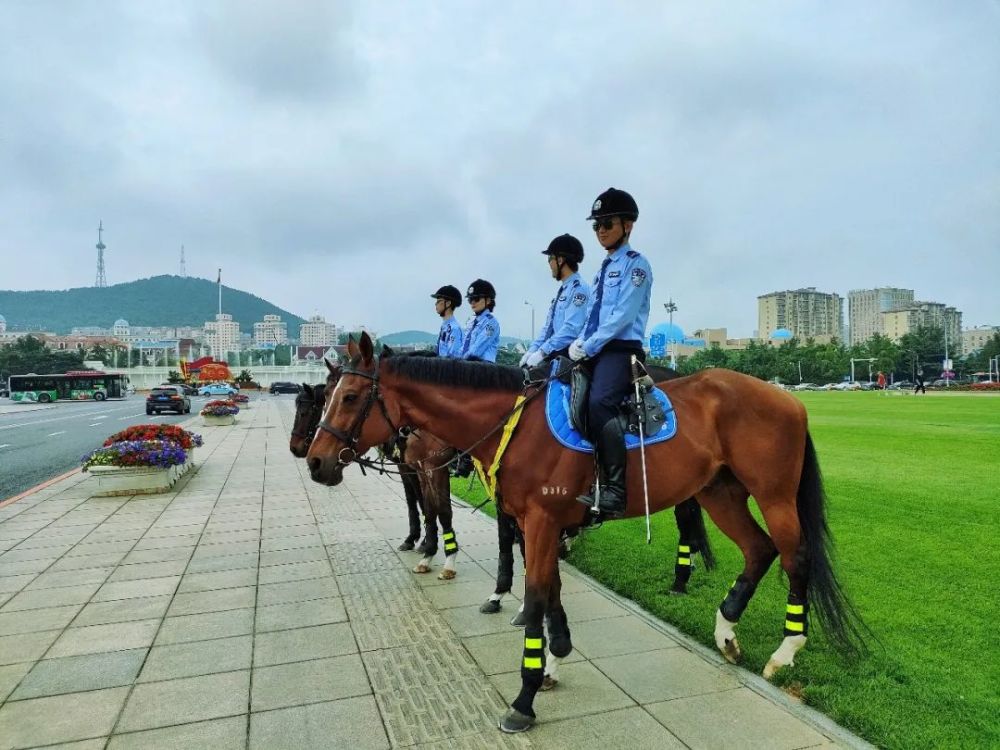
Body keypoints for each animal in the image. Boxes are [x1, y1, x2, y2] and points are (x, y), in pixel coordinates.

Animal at [308, 334, 864, 736]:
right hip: (719, 492)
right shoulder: (539, 522)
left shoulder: (539, 520)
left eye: (351, 396)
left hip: (773, 494)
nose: (314, 462)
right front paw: (556, 655)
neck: (512, 424)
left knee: (795, 557)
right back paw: (726, 629)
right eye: (327, 395)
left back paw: (785, 650)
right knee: (758, 549)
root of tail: (784, 397)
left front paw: (525, 695)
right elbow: (549, 588)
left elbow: (535, 594)